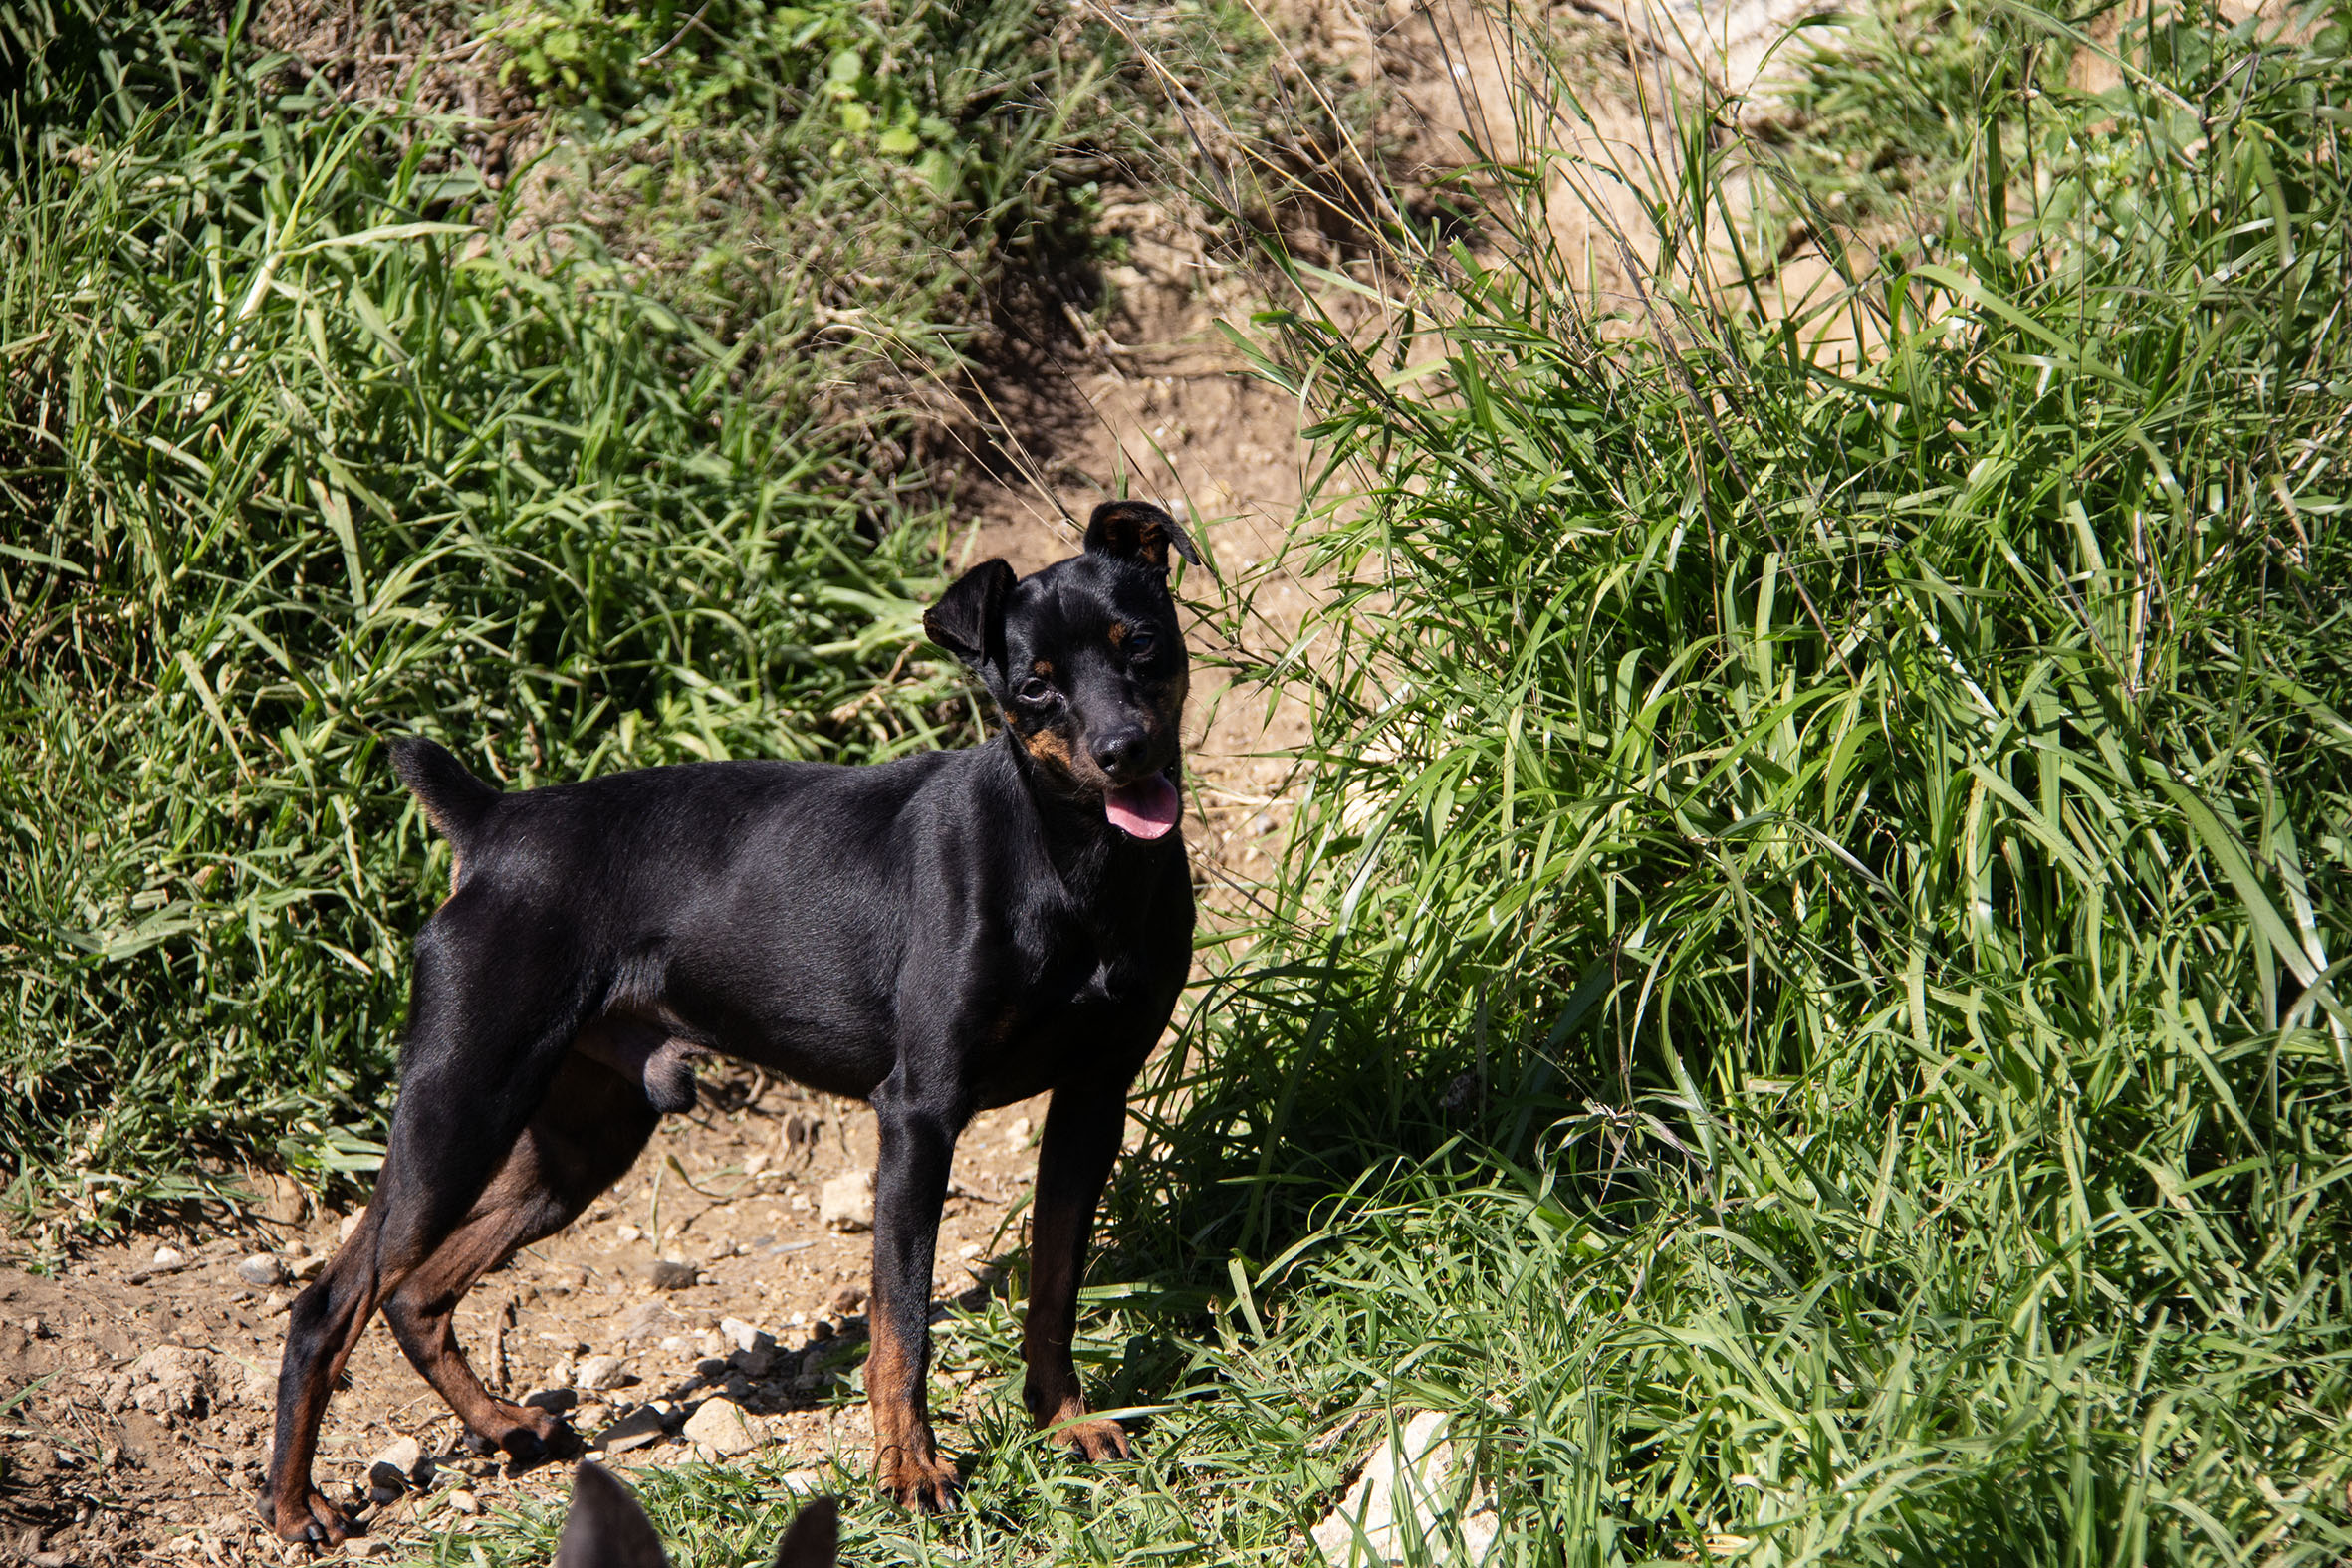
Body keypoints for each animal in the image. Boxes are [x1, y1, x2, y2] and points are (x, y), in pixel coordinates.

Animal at [261, 502, 1200, 1543]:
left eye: (1140, 644)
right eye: (1034, 686)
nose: (1123, 750)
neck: (1074, 863)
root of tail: (496, 822)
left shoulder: (1092, 1100)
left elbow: (1055, 1287)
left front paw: (1065, 1421)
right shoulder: (919, 1114)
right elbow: (901, 1324)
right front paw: (911, 1472)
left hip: (578, 1142)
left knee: (418, 1295)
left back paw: (504, 1423)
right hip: (459, 1107)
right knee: (332, 1302)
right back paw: (295, 1503)